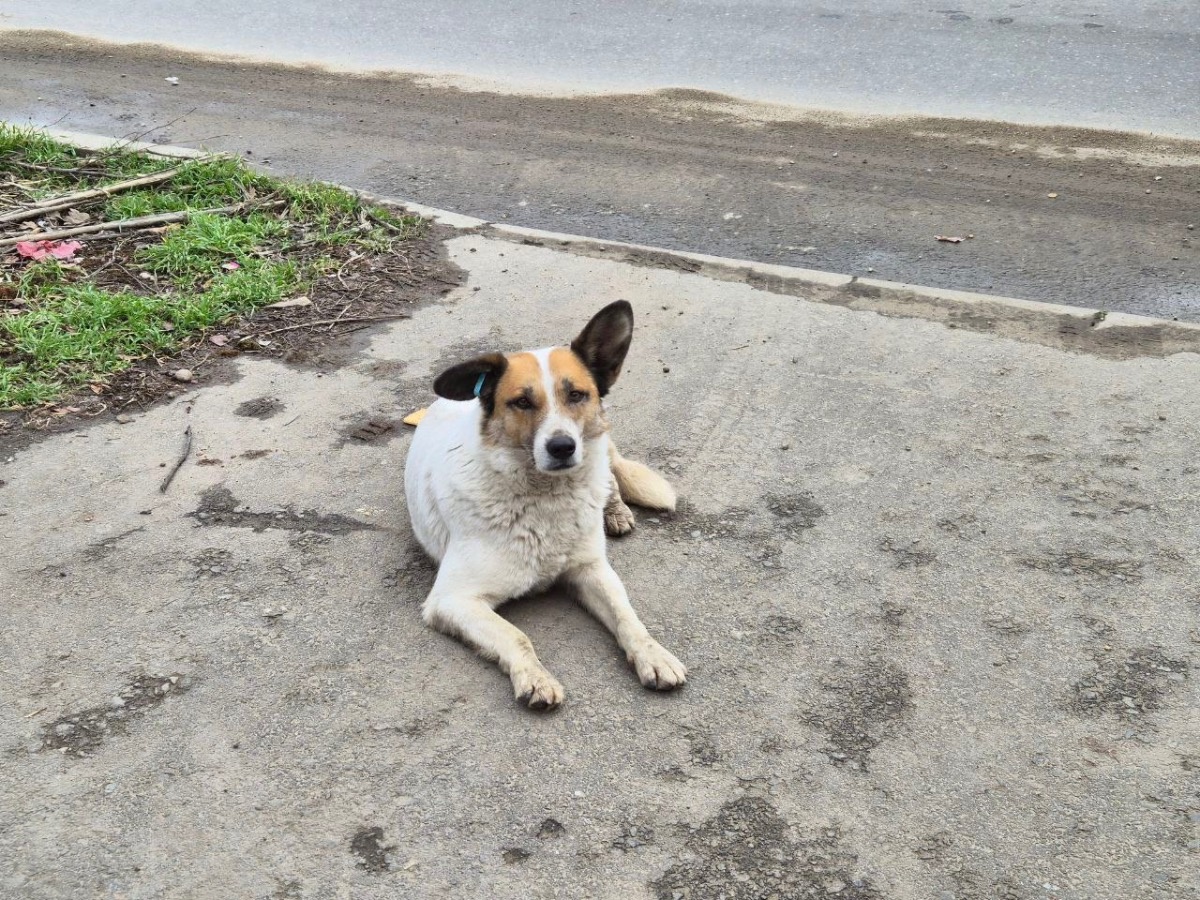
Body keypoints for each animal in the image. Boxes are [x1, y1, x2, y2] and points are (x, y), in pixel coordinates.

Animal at [404, 300, 686, 709]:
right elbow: (516, 635)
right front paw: (534, 676)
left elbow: (627, 617)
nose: (562, 447)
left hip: (603, 449)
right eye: (522, 402)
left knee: (611, 475)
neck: (545, 499)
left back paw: (616, 511)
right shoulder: (452, 600)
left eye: (577, 395)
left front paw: (653, 655)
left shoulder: (591, 569)